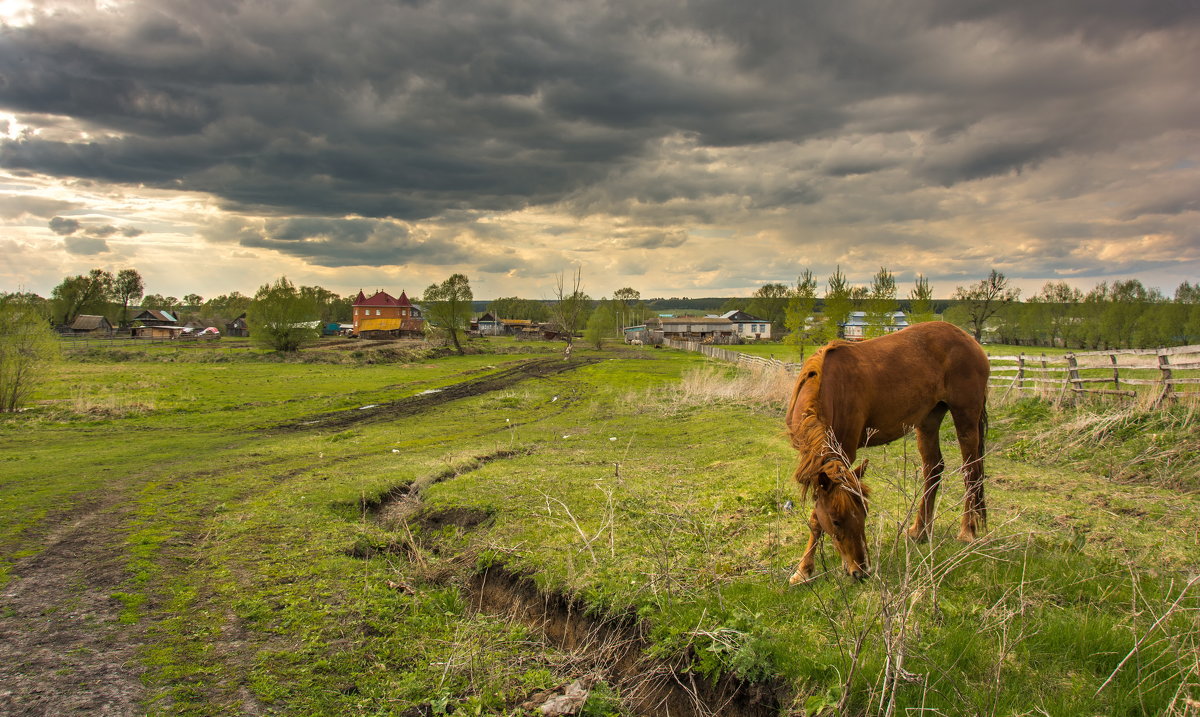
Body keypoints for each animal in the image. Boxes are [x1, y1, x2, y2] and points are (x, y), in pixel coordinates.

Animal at [782, 323, 988, 587]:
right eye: (837, 521)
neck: (826, 387)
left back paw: (967, 531)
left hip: (966, 416)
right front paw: (805, 569)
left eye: (864, 514)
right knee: (933, 468)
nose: (861, 570)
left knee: (971, 470)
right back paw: (919, 531)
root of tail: (968, 339)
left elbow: (816, 518)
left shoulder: (845, 452)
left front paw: (804, 569)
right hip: (929, 418)